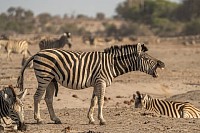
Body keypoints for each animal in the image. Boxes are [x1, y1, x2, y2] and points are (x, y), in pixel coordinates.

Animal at [16, 42, 164, 124]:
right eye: (146, 58)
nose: (162, 63)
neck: (112, 64)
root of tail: (37, 53)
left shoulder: (97, 82)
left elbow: (93, 101)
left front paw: (91, 119)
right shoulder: (101, 81)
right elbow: (101, 101)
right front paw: (102, 120)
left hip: (51, 79)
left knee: (48, 98)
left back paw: (56, 119)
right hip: (44, 77)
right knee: (37, 97)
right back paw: (39, 119)